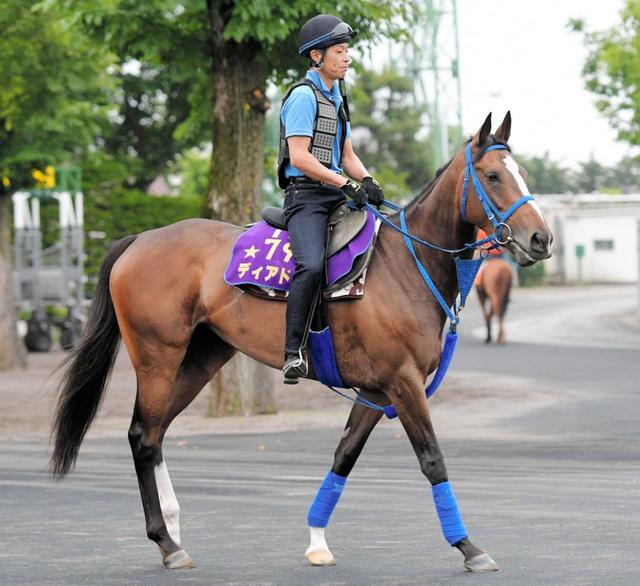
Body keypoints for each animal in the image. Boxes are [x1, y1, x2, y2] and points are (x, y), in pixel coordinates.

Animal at [48, 112, 552, 572]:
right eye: (492, 176)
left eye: (523, 173)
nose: (541, 238)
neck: (404, 264)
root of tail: (139, 240)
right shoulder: (403, 384)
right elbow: (432, 459)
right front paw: (468, 546)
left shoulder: (375, 392)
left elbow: (344, 456)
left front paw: (316, 540)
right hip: (158, 359)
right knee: (141, 436)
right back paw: (166, 542)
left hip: (201, 360)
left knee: (154, 435)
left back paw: (171, 528)